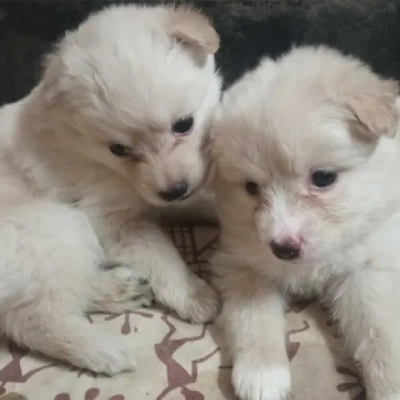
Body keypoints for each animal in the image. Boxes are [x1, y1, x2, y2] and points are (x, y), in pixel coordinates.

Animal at [0, 4, 220, 376]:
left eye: (184, 125)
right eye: (118, 149)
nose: (174, 190)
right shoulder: (111, 219)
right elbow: (162, 256)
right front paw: (193, 293)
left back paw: (121, 289)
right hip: (56, 225)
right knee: (32, 318)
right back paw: (103, 350)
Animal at [209, 46, 400, 400]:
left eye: (322, 178)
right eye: (251, 188)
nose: (283, 248)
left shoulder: (366, 267)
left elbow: (381, 333)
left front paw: (391, 386)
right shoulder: (241, 260)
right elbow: (253, 314)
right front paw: (262, 373)